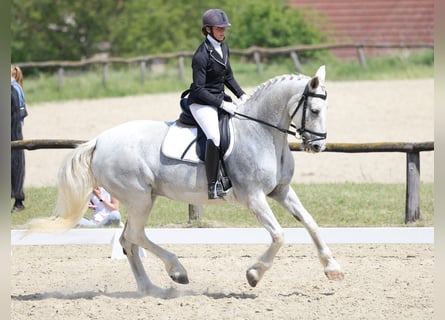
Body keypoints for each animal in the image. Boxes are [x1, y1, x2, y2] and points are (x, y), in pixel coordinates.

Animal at [29, 66, 344, 294]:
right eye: (315, 111)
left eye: (326, 110)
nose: (318, 146)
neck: (263, 133)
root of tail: (99, 140)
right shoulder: (253, 197)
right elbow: (279, 235)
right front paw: (254, 274)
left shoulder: (281, 191)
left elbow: (311, 223)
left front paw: (333, 268)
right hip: (139, 198)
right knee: (135, 236)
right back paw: (177, 272)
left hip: (142, 199)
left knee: (128, 240)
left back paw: (151, 289)